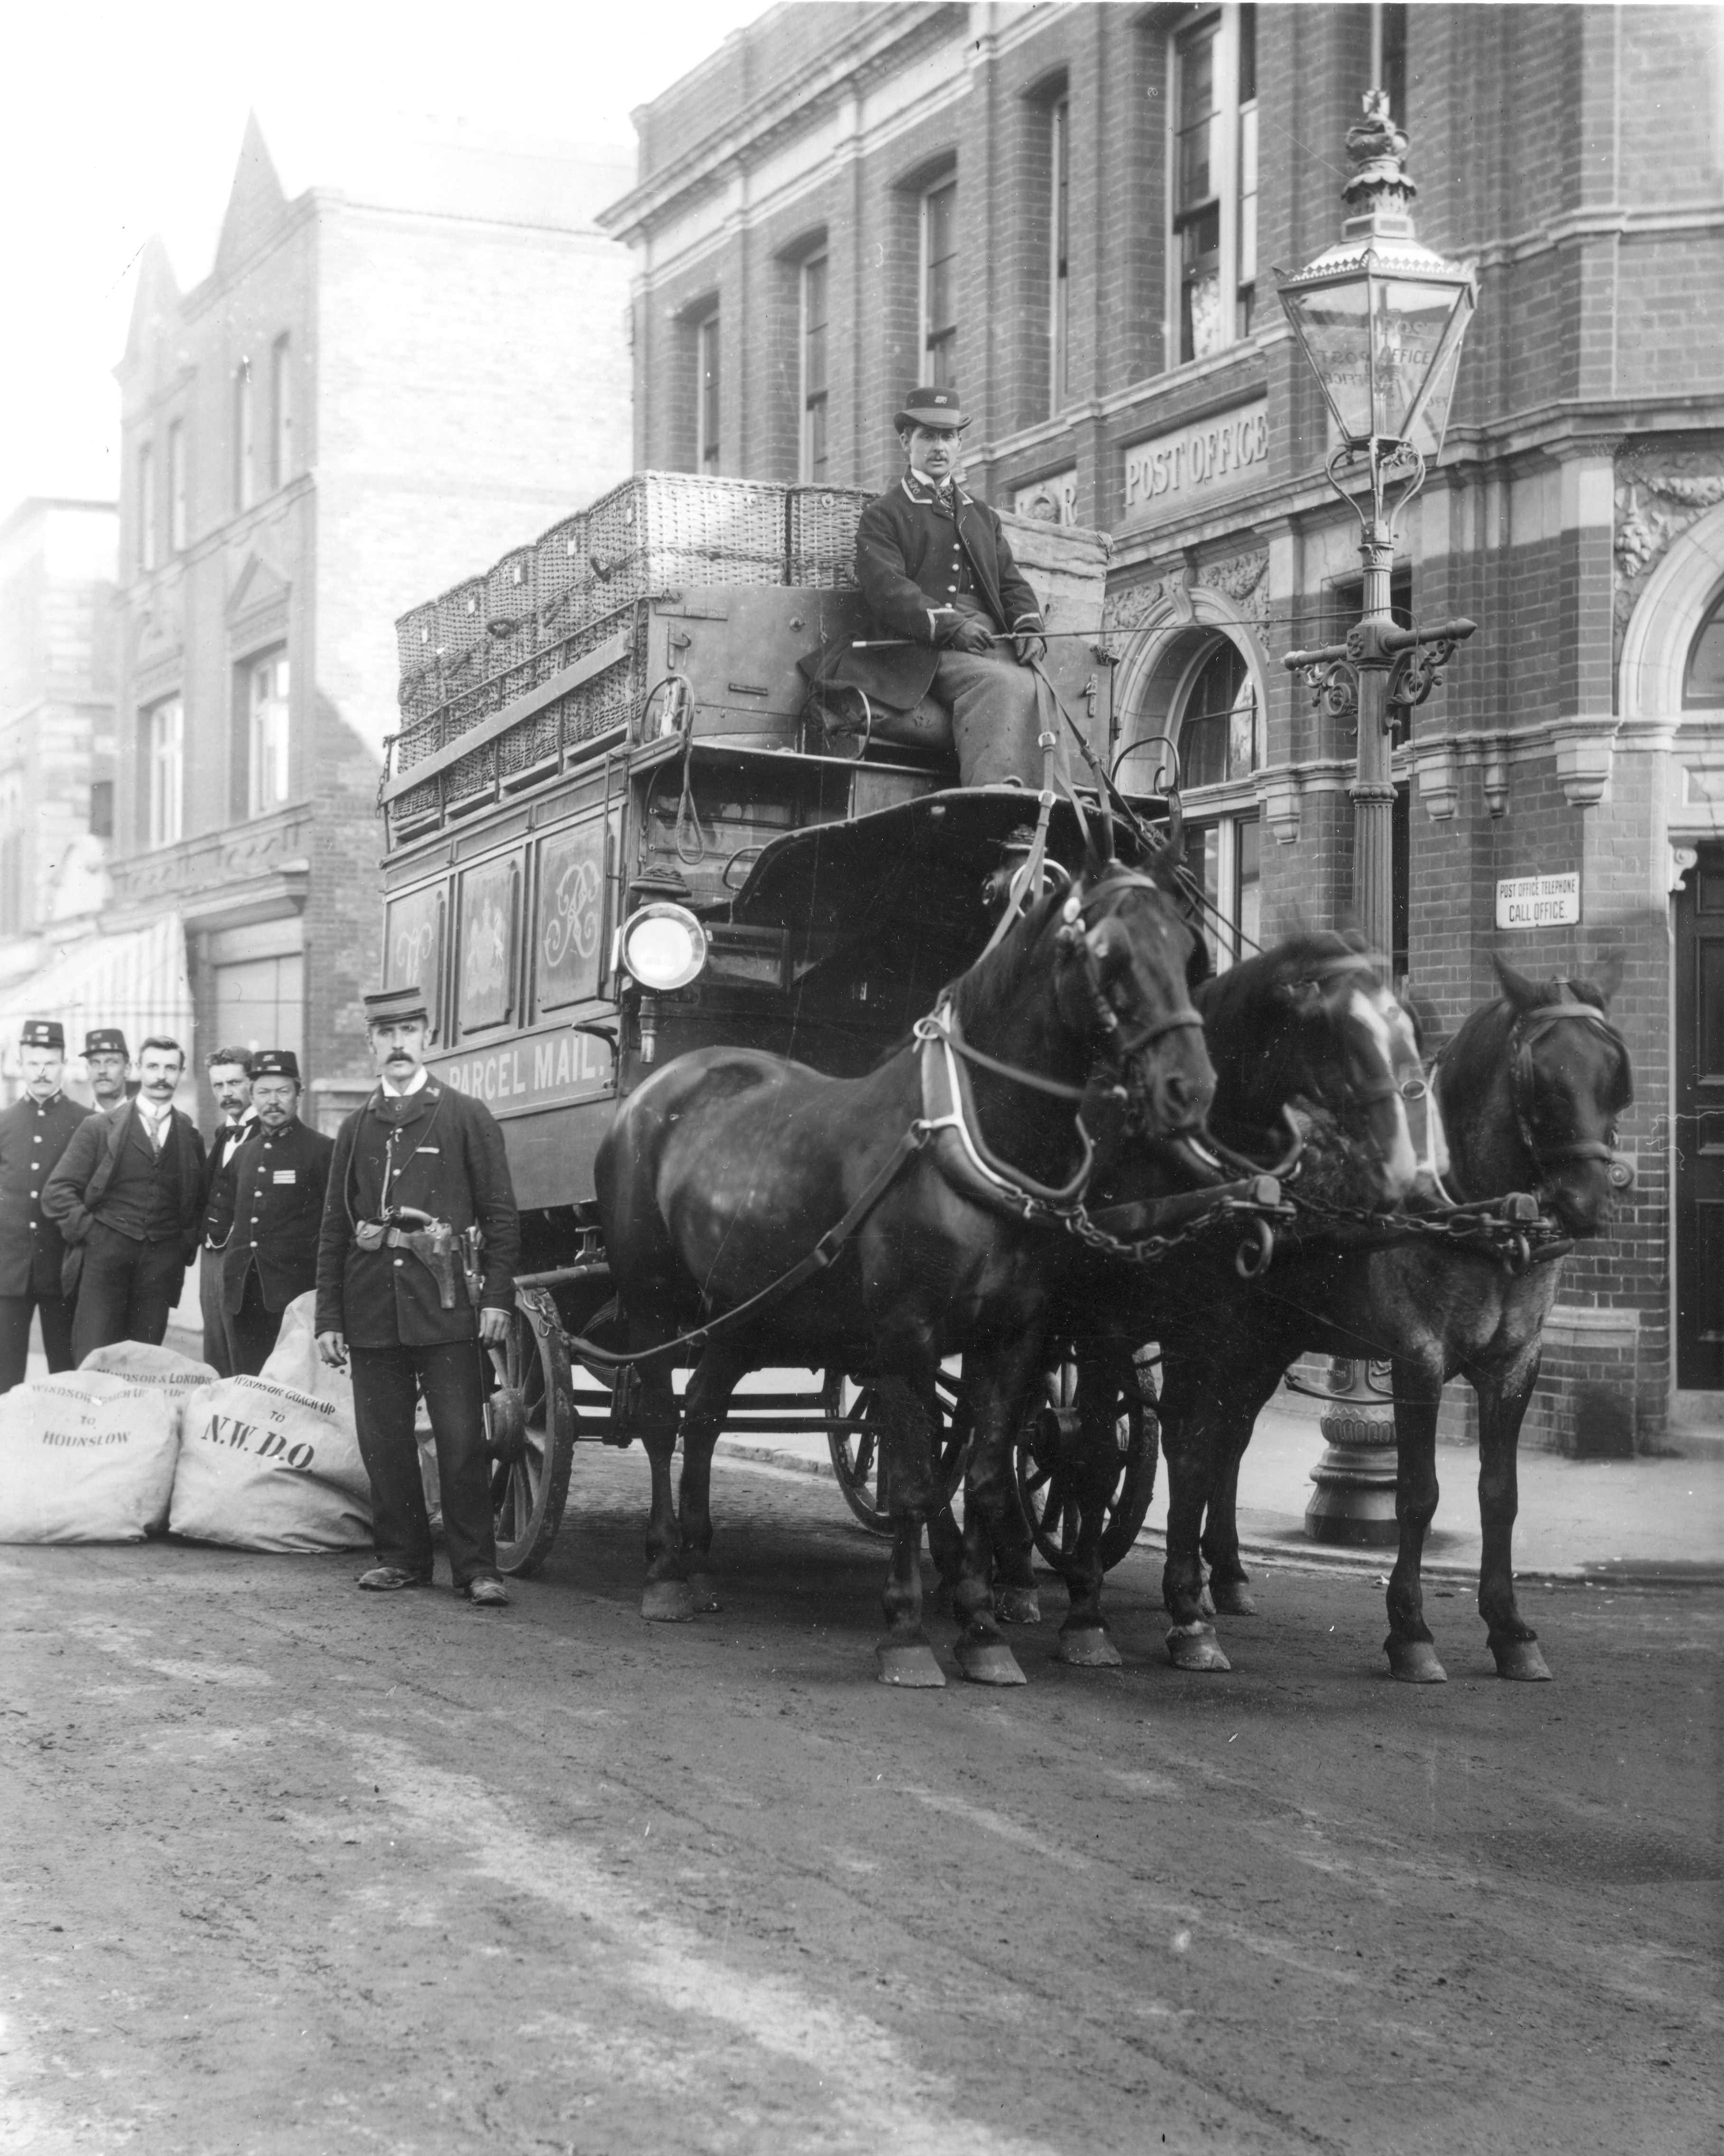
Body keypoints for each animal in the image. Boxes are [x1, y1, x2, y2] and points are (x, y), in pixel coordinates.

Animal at [595, 832, 1215, 1690]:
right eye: (1107, 950)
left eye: (1188, 949)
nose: (1189, 1087)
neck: (975, 1135)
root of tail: (657, 1089)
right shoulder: (906, 1334)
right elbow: (919, 1481)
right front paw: (906, 1632)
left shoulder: (1010, 1338)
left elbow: (985, 1481)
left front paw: (982, 1628)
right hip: (654, 1296)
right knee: (661, 1419)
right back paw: (662, 1573)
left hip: (744, 1311)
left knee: (705, 1414)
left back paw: (698, 1561)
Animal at [1155, 961, 1629, 1682]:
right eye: (1542, 1078)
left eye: (1613, 1074)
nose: (1587, 1204)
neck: (1477, 1214)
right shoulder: (1416, 1358)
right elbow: (1417, 1494)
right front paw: (1410, 1631)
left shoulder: (1517, 1363)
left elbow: (1500, 1495)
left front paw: (1510, 1628)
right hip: (1206, 1332)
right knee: (1187, 1440)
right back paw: (1183, 1603)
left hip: (1264, 1341)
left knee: (1227, 1442)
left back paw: (1227, 1575)